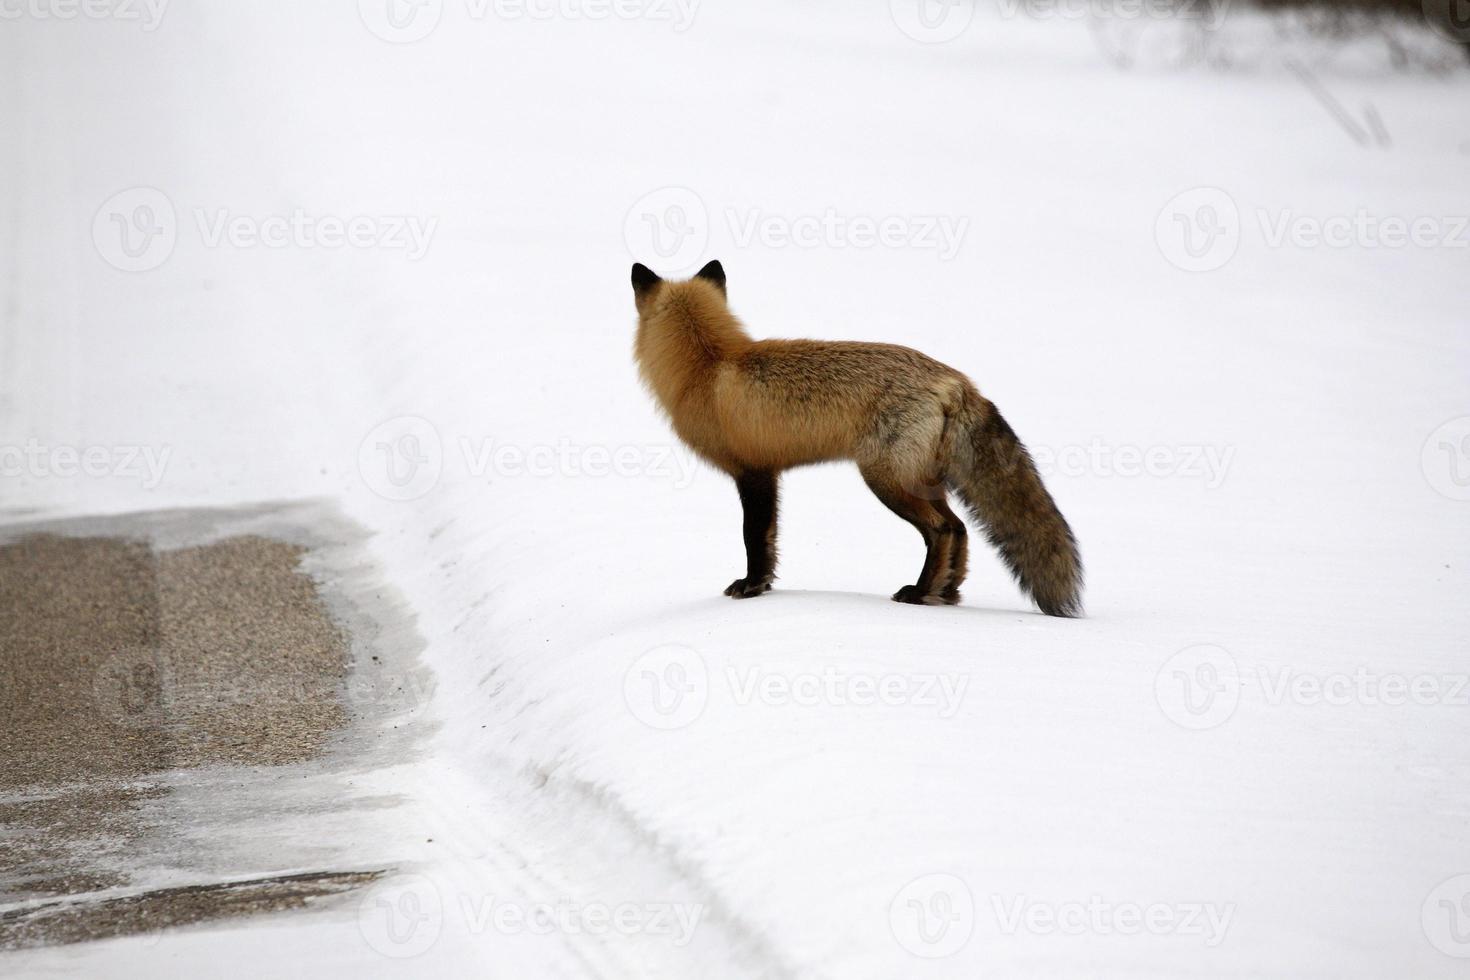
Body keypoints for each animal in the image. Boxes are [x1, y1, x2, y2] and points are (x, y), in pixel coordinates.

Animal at [632, 258, 1081, 614]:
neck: (708, 365)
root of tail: (956, 381)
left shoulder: (752, 472)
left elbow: (753, 538)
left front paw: (752, 587)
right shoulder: (771, 473)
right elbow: (771, 540)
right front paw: (765, 586)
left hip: (886, 480)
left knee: (943, 530)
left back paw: (920, 593)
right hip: (922, 480)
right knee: (961, 529)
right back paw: (945, 592)